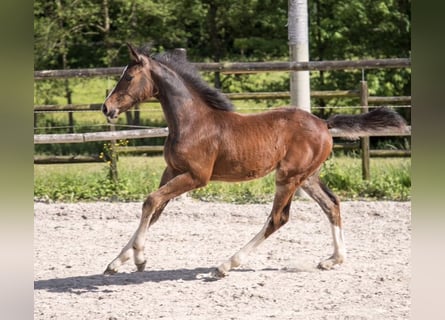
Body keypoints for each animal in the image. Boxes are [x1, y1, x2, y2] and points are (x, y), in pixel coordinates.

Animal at [101, 43, 406, 278]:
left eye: (129, 77)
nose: (106, 108)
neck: (192, 122)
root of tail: (324, 123)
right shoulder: (172, 170)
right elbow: (154, 210)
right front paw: (116, 262)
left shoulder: (196, 177)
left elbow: (150, 201)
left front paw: (139, 259)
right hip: (307, 177)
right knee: (331, 204)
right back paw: (333, 260)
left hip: (288, 177)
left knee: (278, 218)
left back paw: (225, 265)